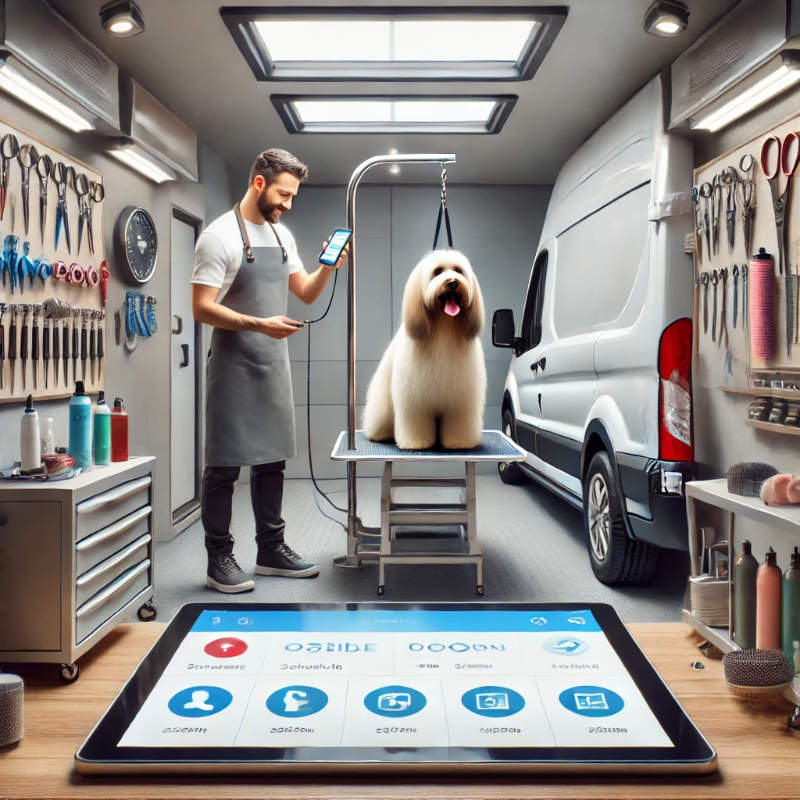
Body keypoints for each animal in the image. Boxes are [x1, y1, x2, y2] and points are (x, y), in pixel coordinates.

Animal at [364, 250, 488, 450]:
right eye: (437, 272)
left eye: (458, 270)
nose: (452, 282)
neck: (444, 327)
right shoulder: (414, 400)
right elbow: (416, 422)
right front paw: (416, 443)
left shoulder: (460, 402)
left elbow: (459, 423)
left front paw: (459, 442)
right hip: (382, 406)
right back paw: (380, 434)